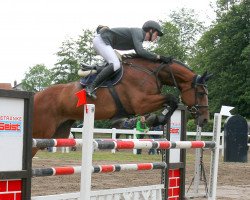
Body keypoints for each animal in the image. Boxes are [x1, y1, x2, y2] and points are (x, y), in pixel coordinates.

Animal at [31, 57, 211, 155]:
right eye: (201, 93)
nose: (205, 119)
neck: (152, 73)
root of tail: (36, 96)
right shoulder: (141, 103)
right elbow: (171, 98)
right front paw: (154, 119)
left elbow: (171, 102)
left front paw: (153, 119)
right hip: (41, 132)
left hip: (59, 132)